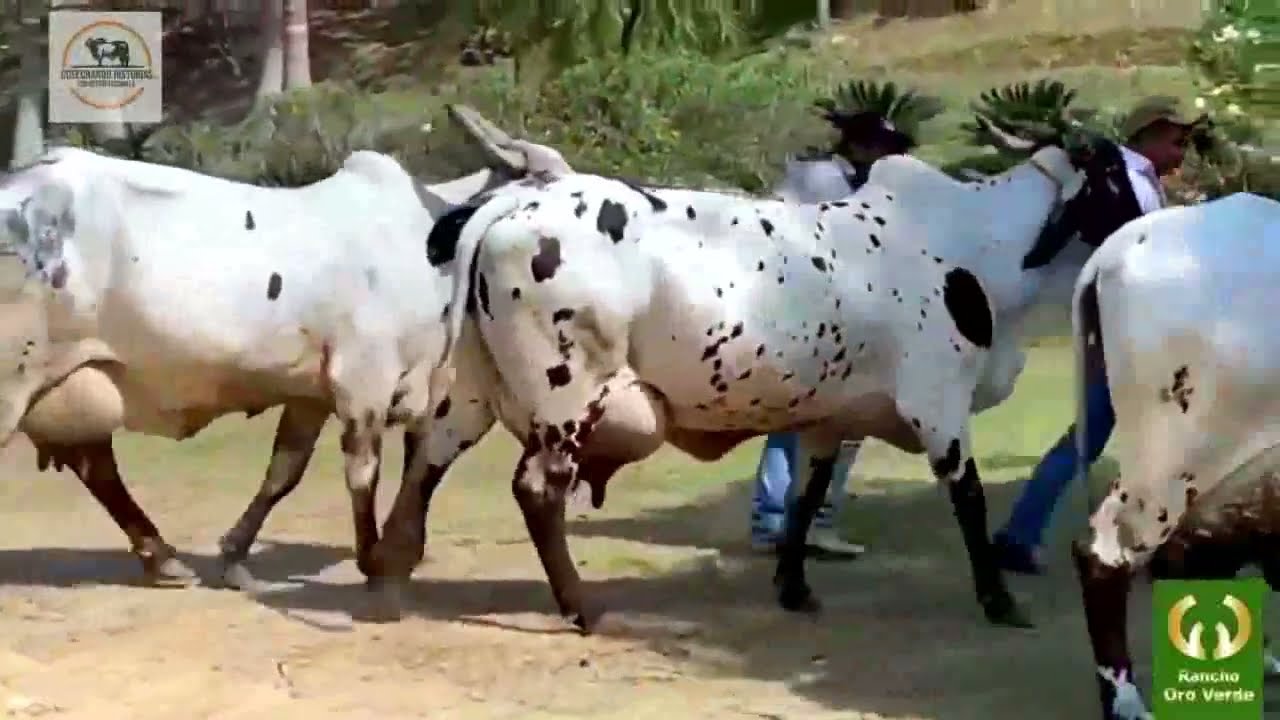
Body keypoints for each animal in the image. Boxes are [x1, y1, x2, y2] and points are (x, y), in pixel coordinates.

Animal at [0, 127, 571, 594]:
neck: (433, 242)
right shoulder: (364, 380)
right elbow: (363, 472)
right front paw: (373, 559)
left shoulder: (312, 394)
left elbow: (284, 472)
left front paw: (235, 556)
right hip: (12, 383)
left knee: (97, 466)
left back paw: (162, 557)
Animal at [371, 113, 1148, 634]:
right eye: (1119, 171)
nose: (1151, 220)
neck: (974, 245)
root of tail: (513, 204)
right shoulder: (940, 407)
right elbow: (971, 501)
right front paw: (998, 599)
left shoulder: (830, 418)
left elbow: (806, 499)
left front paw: (794, 587)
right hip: (567, 392)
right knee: (536, 489)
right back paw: (581, 607)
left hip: (476, 390)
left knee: (427, 457)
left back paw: (390, 573)